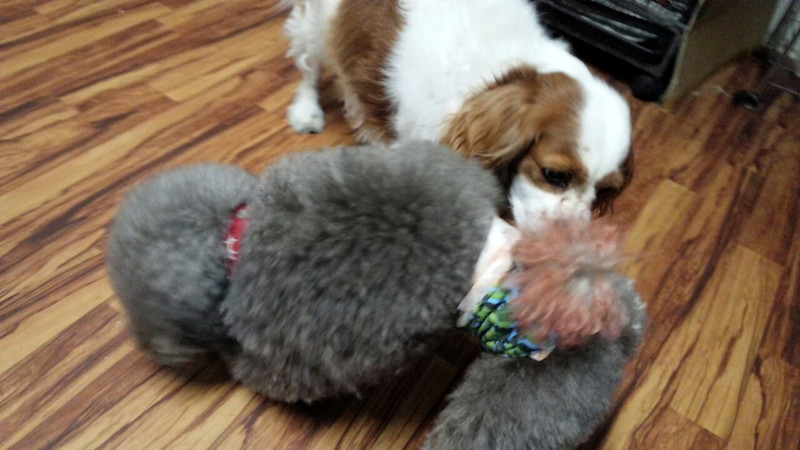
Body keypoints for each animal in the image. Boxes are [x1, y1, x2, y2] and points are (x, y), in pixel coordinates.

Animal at [282, 0, 633, 232]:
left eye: (605, 190)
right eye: (554, 175)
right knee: (308, 68)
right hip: (312, 25)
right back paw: (307, 111)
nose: (572, 234)